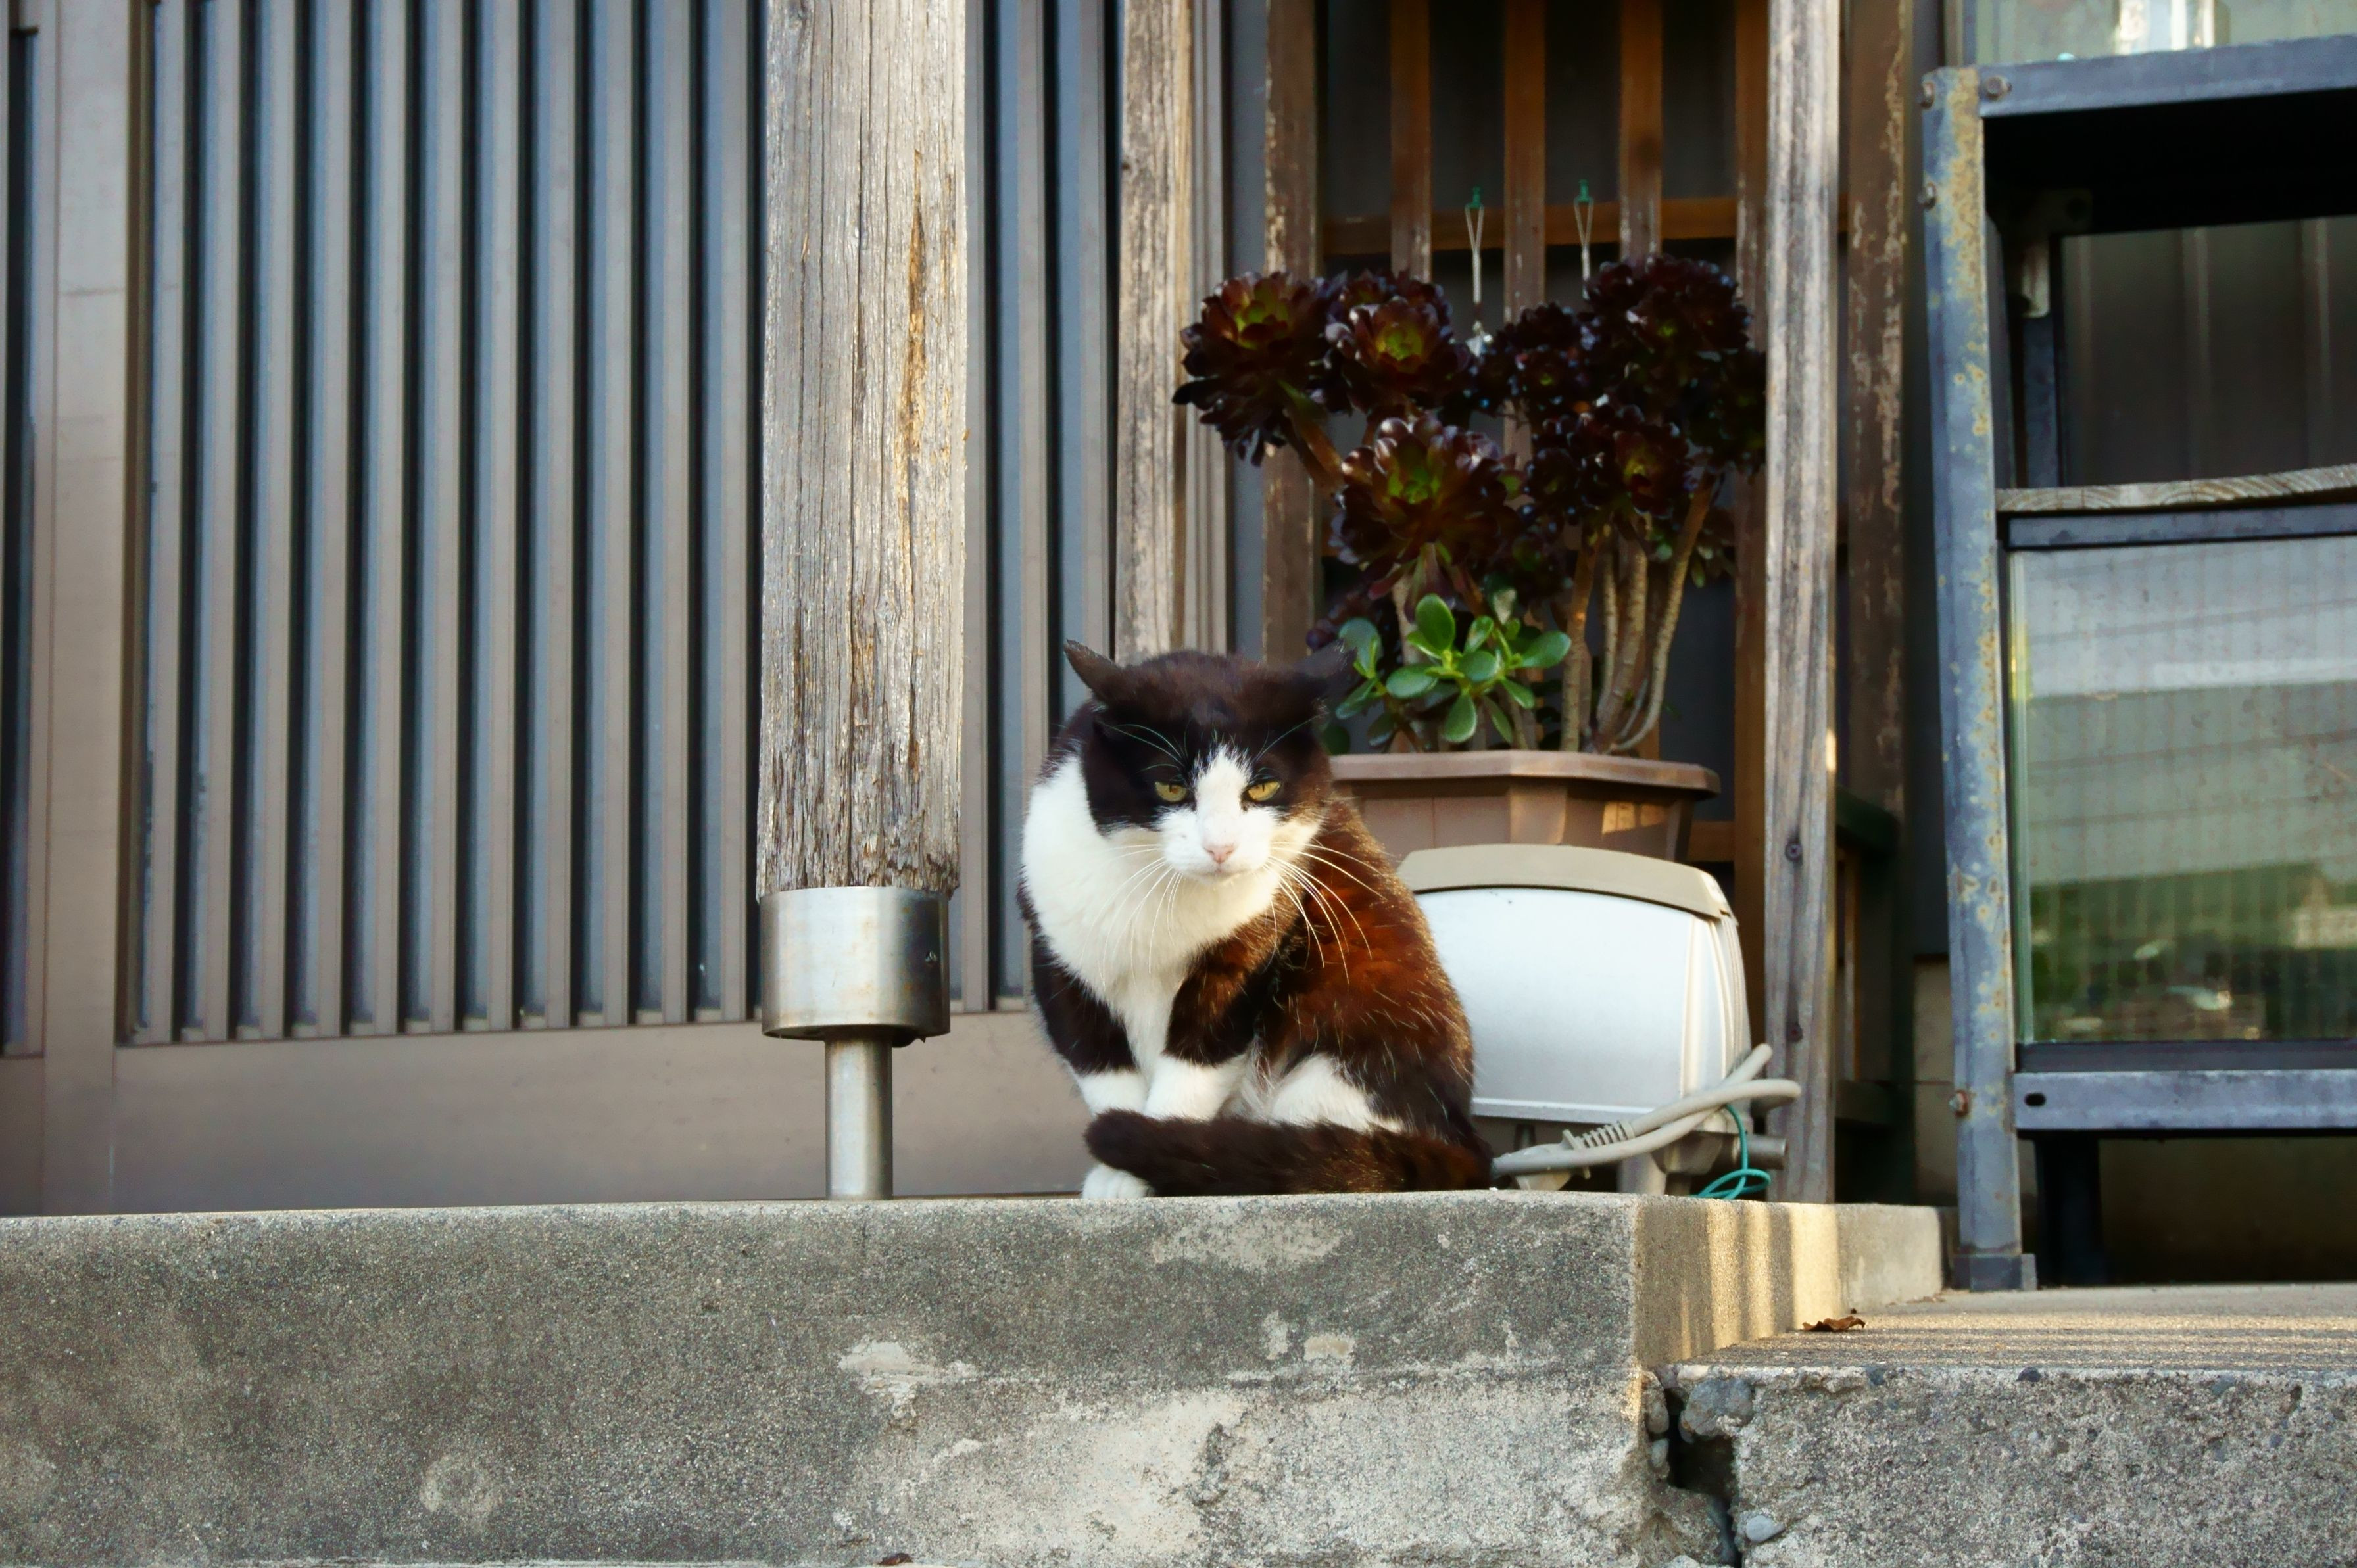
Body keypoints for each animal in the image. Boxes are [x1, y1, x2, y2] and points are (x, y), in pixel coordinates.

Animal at [1019, 640, 1491, 1197]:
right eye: (1172, 788)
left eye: (1263, 788)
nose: (1220, 847)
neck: (1164, 892)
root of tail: (1465, 1138)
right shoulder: (1057, 955)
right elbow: (1101, 1067)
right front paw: (1119, 1175)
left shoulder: (1249, 947)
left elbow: (1194, 1068)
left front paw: (1141, 1160)